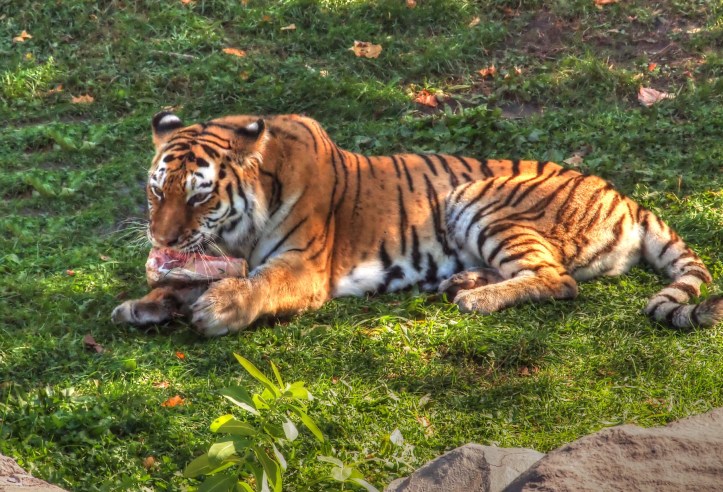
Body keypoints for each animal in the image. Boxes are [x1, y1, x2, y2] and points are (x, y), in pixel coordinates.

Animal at [111, 111, 722, 336]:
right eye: (157, 190)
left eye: (200, 196)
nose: (161, 238)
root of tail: (625, 197)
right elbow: (178, 281)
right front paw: (143, 304)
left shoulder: (303, 266)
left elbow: (259, 283)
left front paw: (217, 308)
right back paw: (464, 281)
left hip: (477, 198)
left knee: (559, 279)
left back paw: (474, 297)